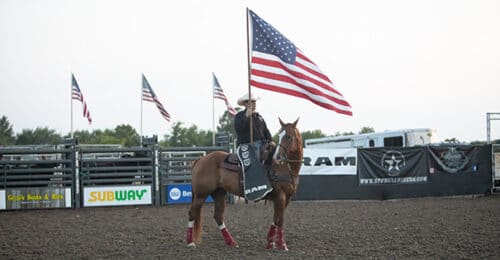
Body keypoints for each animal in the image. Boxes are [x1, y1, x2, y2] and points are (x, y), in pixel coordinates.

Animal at [186, 117, 302, 250]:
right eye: (280, 135)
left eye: (288, 136)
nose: (277, 157)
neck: (283, 167)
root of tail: (200, 159)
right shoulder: (280, 197)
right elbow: (280, 219)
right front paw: (282, 245)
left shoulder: (287, 198)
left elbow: (276, 219)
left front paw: (270, 242)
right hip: (201, 194)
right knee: (192, 213)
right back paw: (190, 242)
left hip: (219, 193)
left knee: (218, 216)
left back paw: (231, 242)